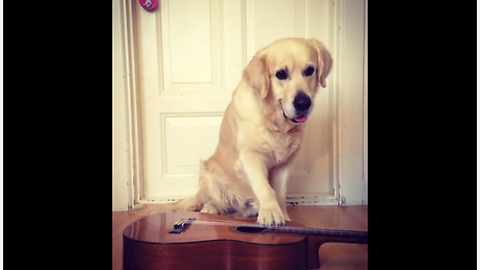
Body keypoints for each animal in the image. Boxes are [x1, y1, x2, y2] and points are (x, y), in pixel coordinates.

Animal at [148, 37, 332, 226]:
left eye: (310, 70)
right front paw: (270, 212)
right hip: (209, 173)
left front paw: (284, 217)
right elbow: (265, 188)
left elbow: (279, 192)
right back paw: (211, 208)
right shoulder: (250, 156)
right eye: (281, 74)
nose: (303, 103)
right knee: (218, 202)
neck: (273, 120)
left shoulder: (286, 163)